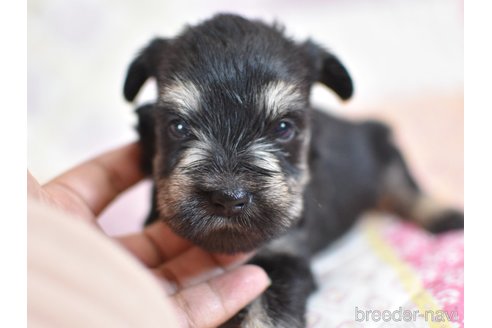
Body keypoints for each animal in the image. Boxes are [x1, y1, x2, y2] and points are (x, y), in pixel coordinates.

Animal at [121, 13, 464, 328]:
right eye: (177, 127)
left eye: (284, 128)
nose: (228, 198)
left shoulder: (284, 260)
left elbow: (264, 317)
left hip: (384, 147)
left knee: (405, 186)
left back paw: (443, 215)